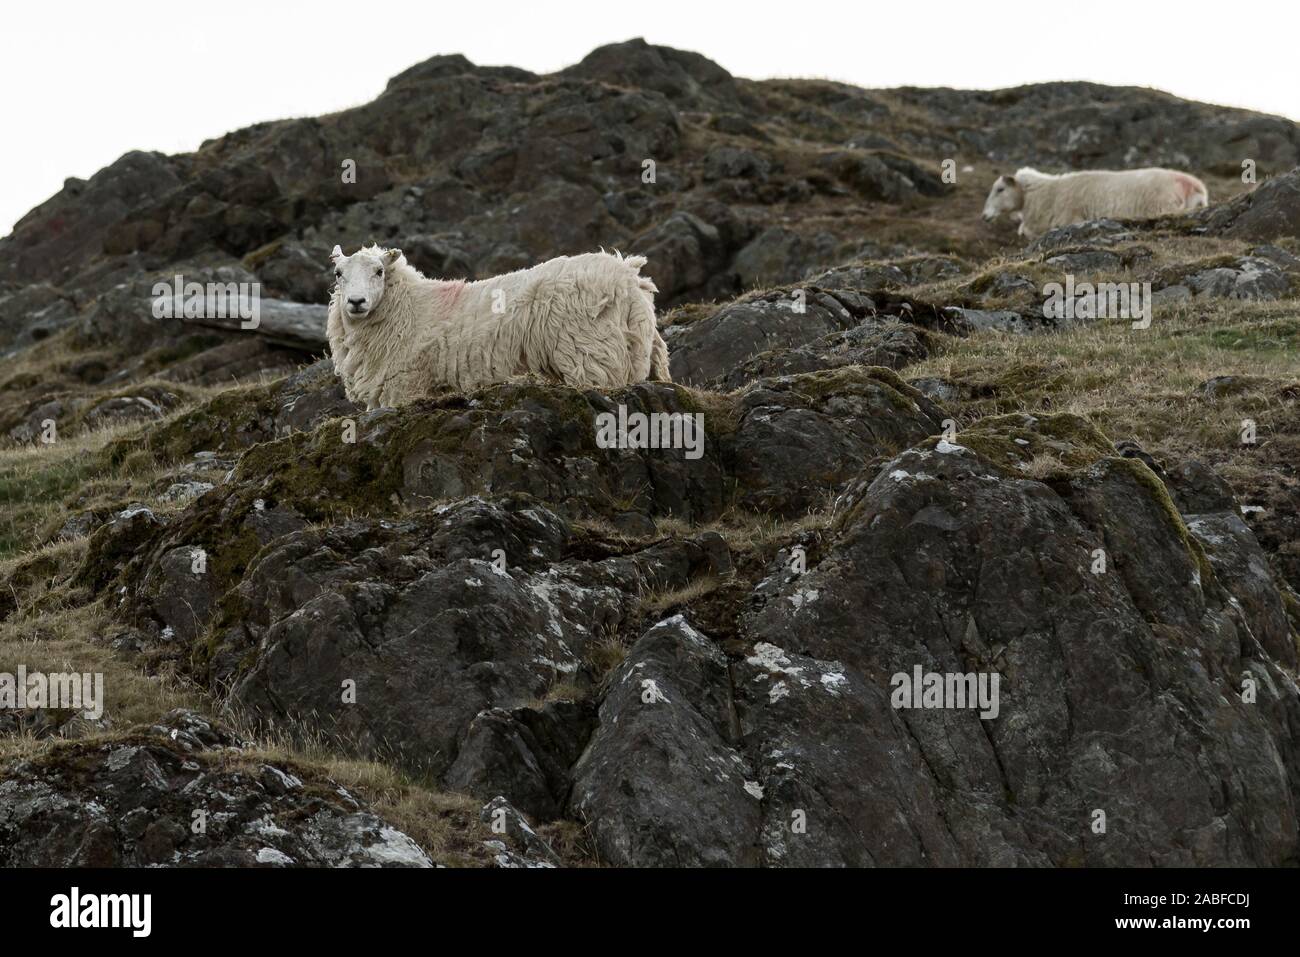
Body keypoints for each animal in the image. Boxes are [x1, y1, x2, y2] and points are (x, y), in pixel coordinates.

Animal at [327, 243, 670, 408]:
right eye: (338, 274)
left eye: (379, 271)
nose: (356, 302)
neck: (410, 307)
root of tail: (628, 276)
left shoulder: (405, 385)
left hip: (593, 353)